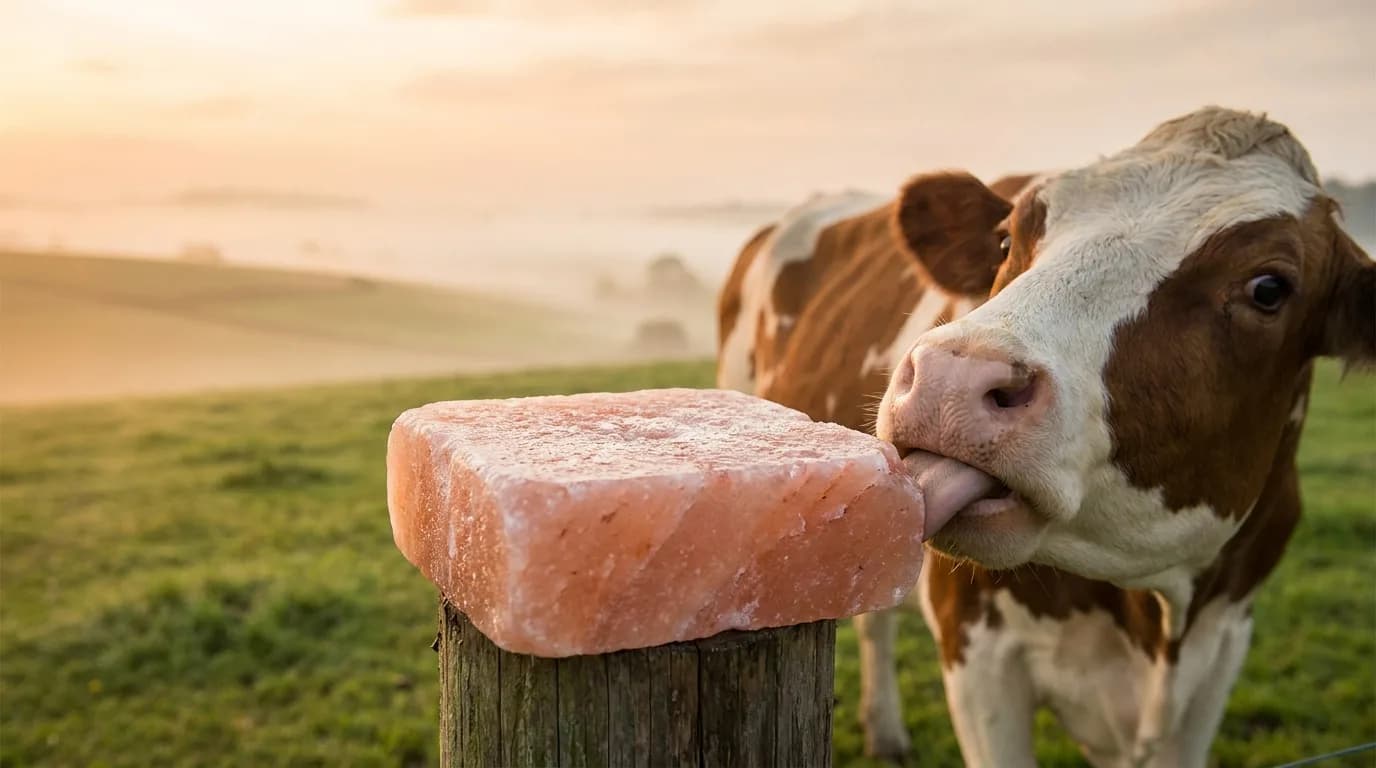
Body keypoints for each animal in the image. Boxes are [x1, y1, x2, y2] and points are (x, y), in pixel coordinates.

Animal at [715, 106, 1374, 767]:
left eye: (1269, 288)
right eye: (1009, 239)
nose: (951, 378)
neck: (1155, 617)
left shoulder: (1221, 652)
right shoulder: (977, 650)